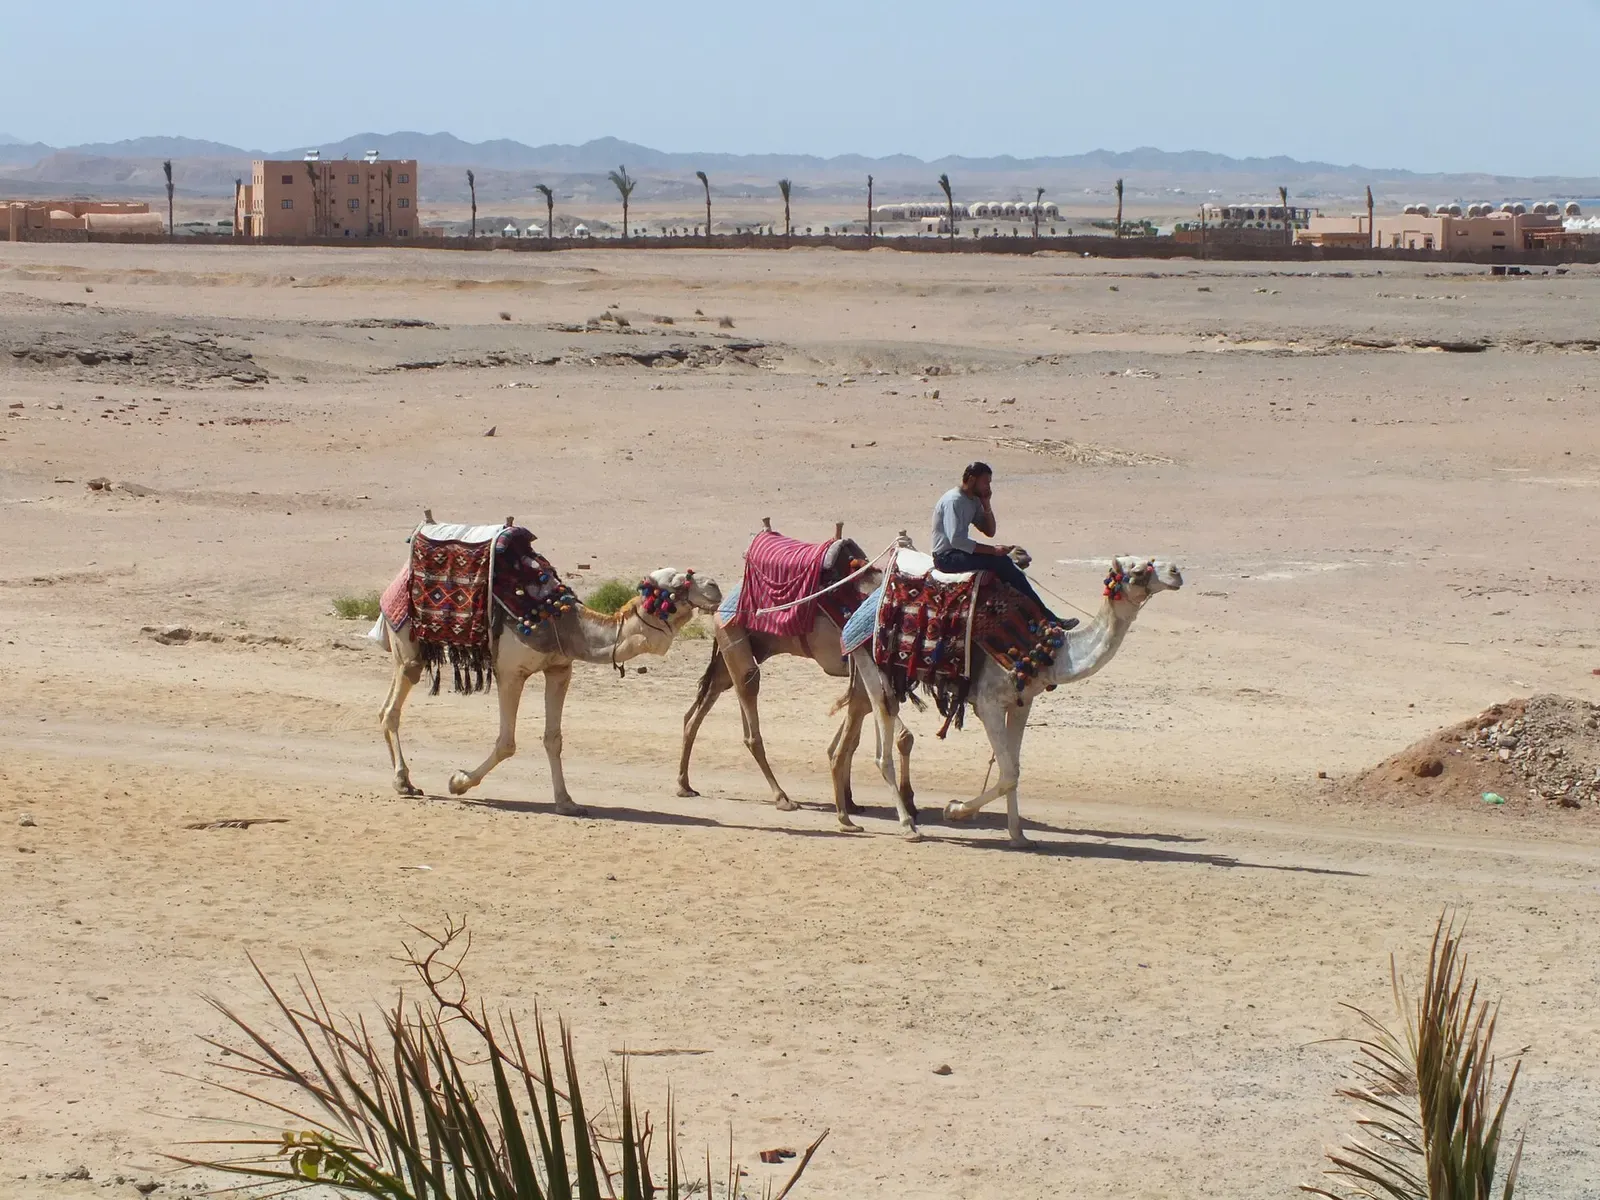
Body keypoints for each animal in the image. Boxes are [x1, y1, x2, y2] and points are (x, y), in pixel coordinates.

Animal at [378, 567, 723, 813]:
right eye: (676, 583)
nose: (715, 587)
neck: (561, 621)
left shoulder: (559, 669)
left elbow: (553, 739)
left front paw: (567, 802)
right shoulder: (510, 672)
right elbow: (507, 743)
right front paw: (458, 782)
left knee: (385, 708)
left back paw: (405, 781)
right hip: (408, 644)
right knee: (393, 707)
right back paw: (403, 783)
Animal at [843, 554, 1183, 846]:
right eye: (1137, 570)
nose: (1176, 571)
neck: (1048, 651)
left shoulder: (1021, 702)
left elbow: (1015, 769)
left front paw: (1019, 836)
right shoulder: (988, 704)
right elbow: (1008, 773)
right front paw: (954, 810)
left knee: (881, 732)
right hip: (873, 664)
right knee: (884, 748)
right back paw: (907, 826)